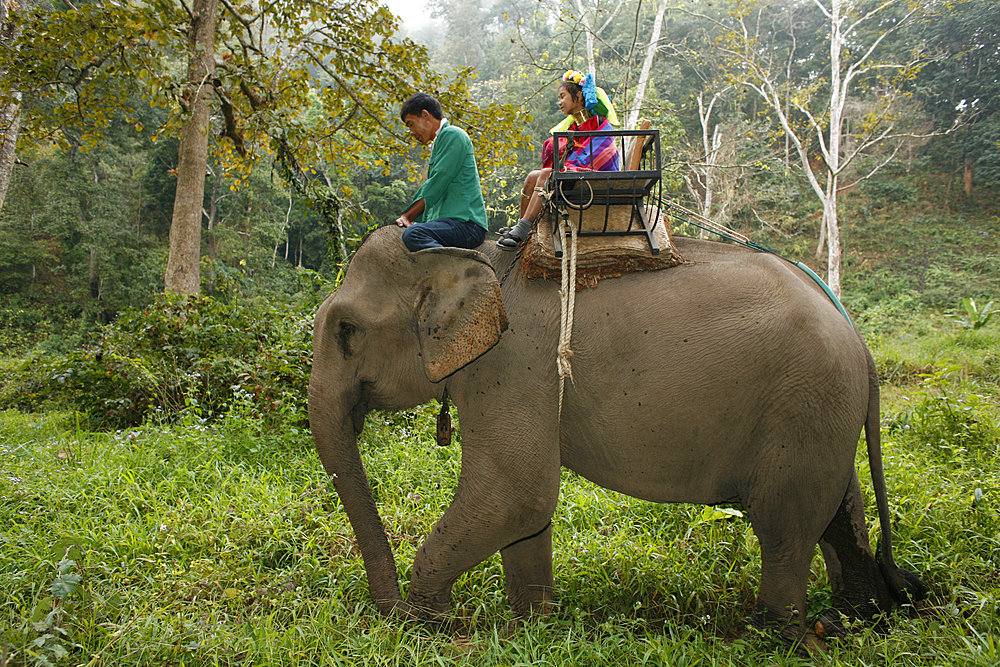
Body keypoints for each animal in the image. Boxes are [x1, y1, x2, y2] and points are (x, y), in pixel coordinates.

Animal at [308, 226, 924, 648]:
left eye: (347, 330)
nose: (388, 617)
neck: (468, 255)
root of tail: (857, 335)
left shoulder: (510, 365)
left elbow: (516, 492)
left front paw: (431, 627)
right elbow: (525, 514)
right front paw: (532, 627)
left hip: (804, 405)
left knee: (784, 523)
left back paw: (774, 639)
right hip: (822, 414)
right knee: (839, 509)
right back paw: (849, 621)